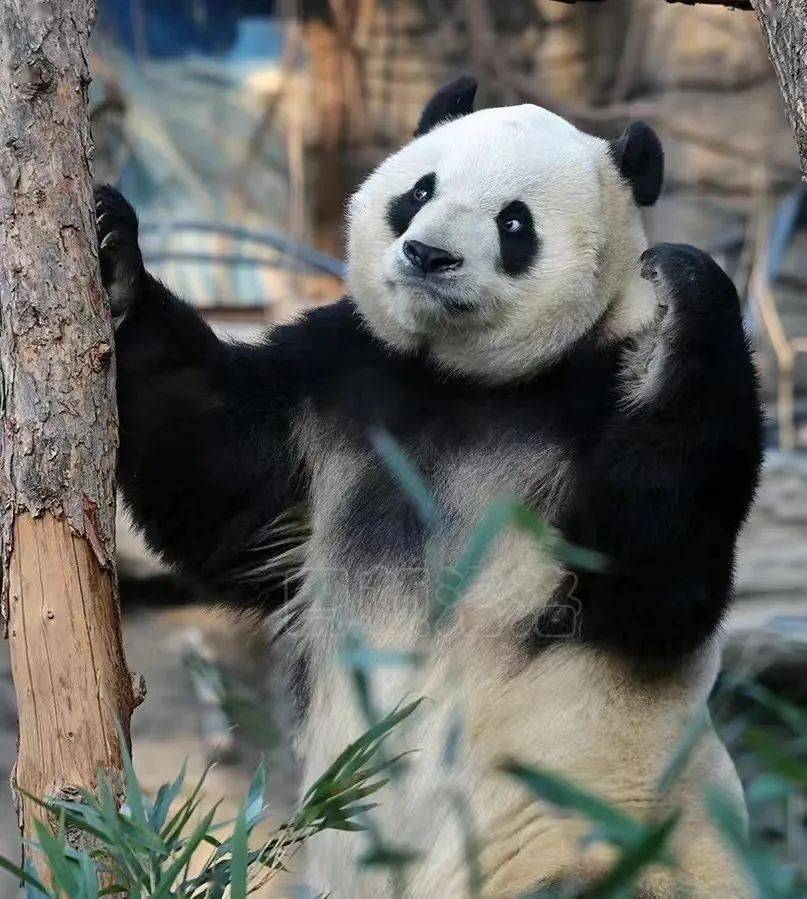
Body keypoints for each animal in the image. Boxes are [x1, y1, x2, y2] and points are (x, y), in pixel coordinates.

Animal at [96, 79, 764, 899]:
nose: (427, 254)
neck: (461, 376)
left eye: (514, 222)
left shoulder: (596, 389)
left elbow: (657, 586)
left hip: (587, 823)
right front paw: (113, 253)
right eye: (420, 191)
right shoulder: (341, 377)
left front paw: (691, 289)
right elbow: (211, 473)